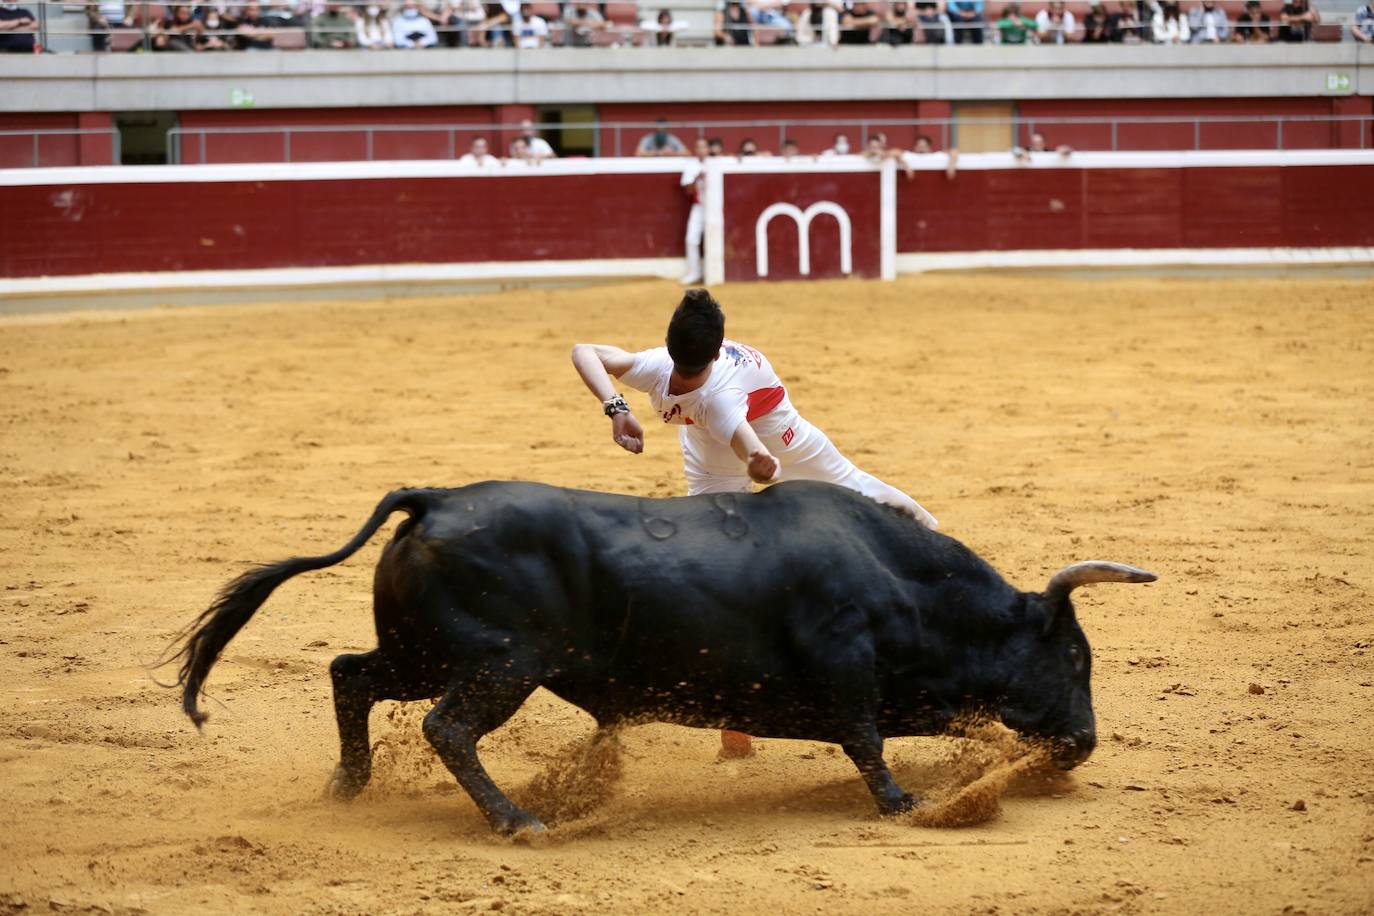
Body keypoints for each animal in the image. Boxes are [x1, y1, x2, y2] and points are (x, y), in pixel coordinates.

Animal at [174, 483, 1159, 834]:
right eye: (1076, 657)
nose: (1083, 743)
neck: (903, 580)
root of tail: (438, 498)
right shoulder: (848, 667)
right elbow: (866, 740)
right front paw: (905, 804)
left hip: (423, 651)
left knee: (351, 673)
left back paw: (348, 786)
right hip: (498, 666)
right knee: (447, 728)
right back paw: (520, 820)